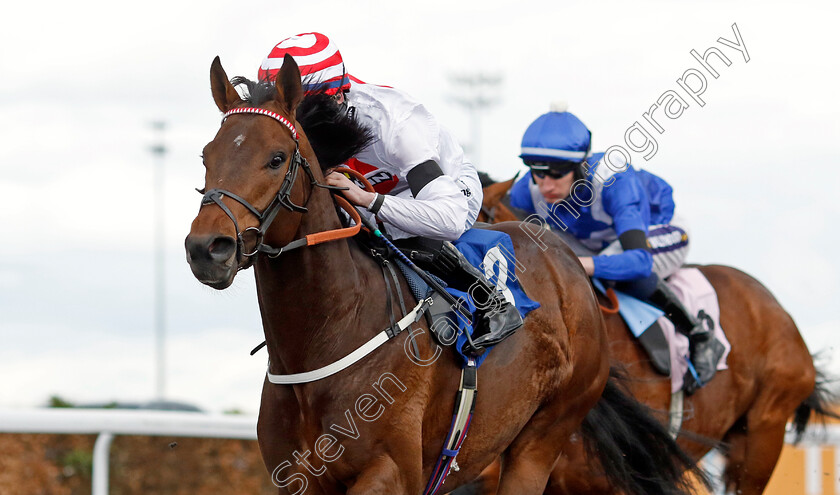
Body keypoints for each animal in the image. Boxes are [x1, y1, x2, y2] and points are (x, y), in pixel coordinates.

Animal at [187, 56, 704, 494]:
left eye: (276, 157)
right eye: (206, 156)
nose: (206, 248)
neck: (326, 336)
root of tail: (567, 262)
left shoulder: (391, 472)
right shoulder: (295, 477)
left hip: (544, 438)